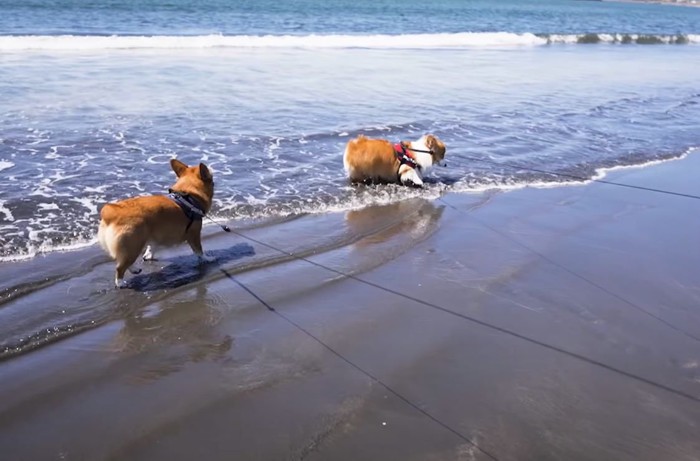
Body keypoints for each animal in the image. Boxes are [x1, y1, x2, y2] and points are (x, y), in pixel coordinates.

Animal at [97, 159, 215, 288]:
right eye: (212, 180)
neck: (189, 194)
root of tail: (110, 212)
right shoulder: (194, 235)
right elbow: (199, 251)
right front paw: (207, 259)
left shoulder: (156, 235)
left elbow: (152, 247)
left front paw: (148, 255)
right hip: (134, 246)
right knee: (120, 267)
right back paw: (120, 282)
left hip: (131, 247)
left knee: (123, 261)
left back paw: (134, 270)